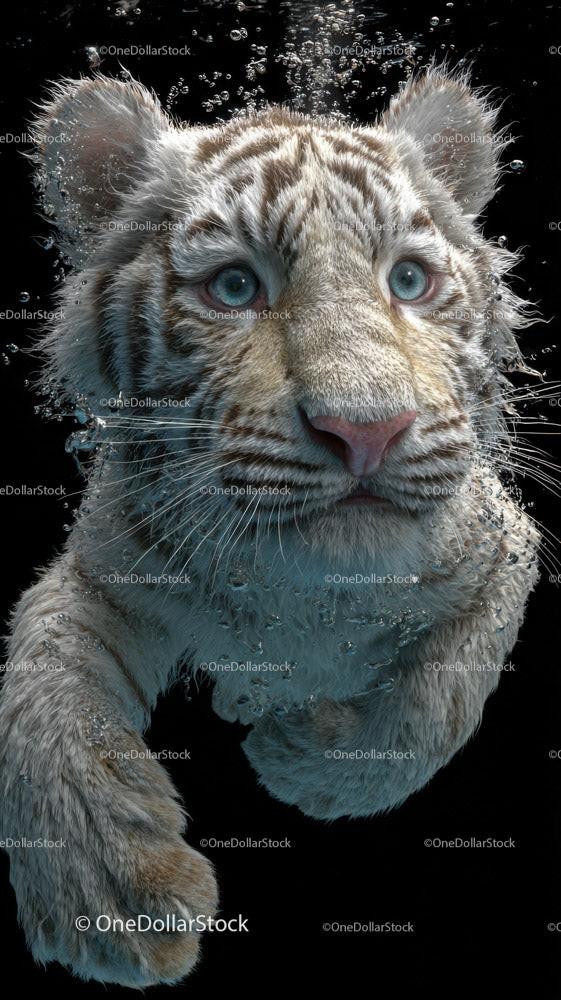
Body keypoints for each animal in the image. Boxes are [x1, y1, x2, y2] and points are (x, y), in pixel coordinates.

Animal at [0, 67, 540, 986]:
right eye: (233, 288)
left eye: (408, 281)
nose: (367, 430)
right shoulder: (110, 567)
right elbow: (43, 678)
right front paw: (107, 888)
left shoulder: (501, 545)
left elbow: (440, 693)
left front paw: (304, 758)